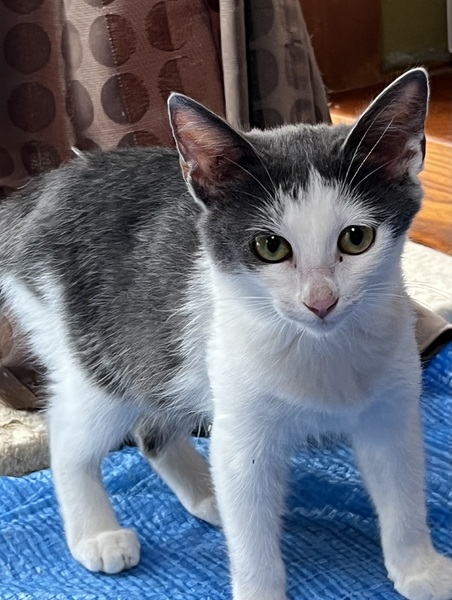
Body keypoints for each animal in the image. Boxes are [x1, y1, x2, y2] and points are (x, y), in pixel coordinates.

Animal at [0, 68, 451, 600]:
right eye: (271, 247)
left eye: (356, 238)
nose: (321, 301)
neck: (318, 348)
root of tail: (39, 193)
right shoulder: (242, 431)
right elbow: (250, 517)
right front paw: (260, 588)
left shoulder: (391, 409)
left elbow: (402, 488)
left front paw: (418, 568)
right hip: (100, 353)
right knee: (69, 434)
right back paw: (96, 534)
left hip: (158, 355)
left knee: (151, 428)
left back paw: (206, 495)